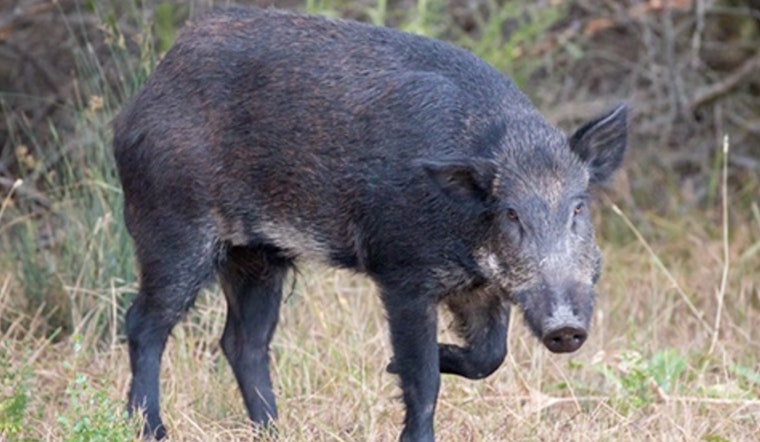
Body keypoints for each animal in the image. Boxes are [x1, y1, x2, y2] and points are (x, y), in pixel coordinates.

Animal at [113, 6, 627, 441]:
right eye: (510, 213)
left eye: (578, 207)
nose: (566, 328)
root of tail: (149, 87)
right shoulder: (402, 275)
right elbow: (423, 377)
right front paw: (397, 372)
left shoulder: (479, 289)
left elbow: (489, 357)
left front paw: (392, 367)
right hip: (173, 227)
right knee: (144, 323)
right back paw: (152, 429)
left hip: (257, 255)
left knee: (243, 342)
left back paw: (276, 431)